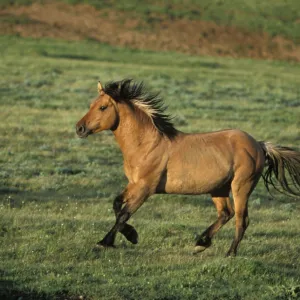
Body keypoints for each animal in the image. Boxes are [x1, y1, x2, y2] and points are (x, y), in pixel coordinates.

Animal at [75, 79, 300, 255]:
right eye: (91, 104)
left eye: (103, 107)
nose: (79, 128)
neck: (146, 144)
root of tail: (259, 145)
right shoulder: (134, 184)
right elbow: (116, 204)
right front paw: (131, 235)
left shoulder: (145, 188)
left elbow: (124, 213)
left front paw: (108, 241)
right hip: (218, 189)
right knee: (225, 214)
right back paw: (201, 243)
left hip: (241, 187)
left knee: (241, 219)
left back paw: (229, 253)